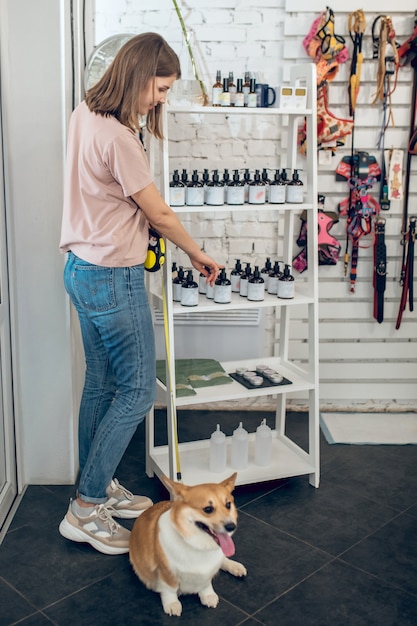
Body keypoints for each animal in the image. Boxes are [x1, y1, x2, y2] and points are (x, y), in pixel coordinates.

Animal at [130, 470, 245, 612]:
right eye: (208, 509)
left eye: (228, 505)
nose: (231, 526)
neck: (198, 546)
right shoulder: (166, 572)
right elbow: (170, 589)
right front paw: (172, 604)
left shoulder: (208, 572)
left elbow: (206, 583)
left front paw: (208, 595)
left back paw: (236, 566)